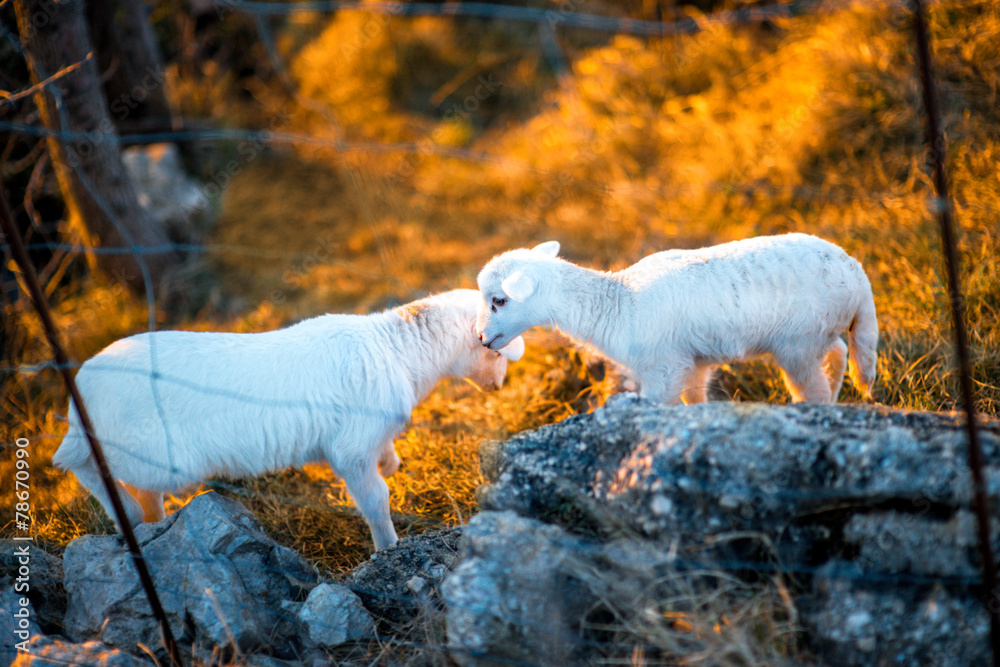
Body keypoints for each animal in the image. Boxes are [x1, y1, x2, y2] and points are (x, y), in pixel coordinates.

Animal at [55, 290, 528, 552]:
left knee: (138, 489)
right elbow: (376, 500)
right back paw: (128, 510)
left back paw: (150, 519)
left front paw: (392, 461)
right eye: (495, 350)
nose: (501, 386)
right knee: (82, 465)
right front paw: (388, 549)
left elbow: (385, 458)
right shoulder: (351, 451)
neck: (398, 352)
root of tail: (81, 395)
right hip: (144, 451)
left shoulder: (363, 438)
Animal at [476, 235, 876, 408]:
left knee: (814, 387)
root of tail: (857, 273)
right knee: (839, 351)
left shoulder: (663, 368)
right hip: (817, 332)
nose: (480, 338)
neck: (619, 302)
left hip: (798, 342)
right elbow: (694, 401)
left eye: (499, 301)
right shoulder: (691, 364)